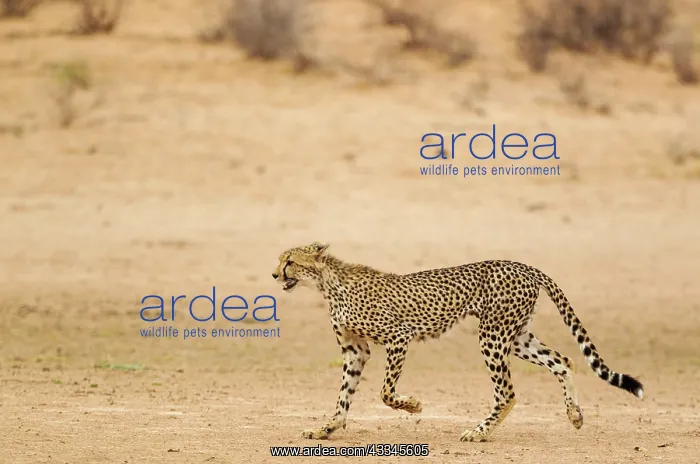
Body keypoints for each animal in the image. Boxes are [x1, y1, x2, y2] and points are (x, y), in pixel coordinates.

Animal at [272, 241, 644, 442]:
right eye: (280, 259)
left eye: (290, 261)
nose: (274, 274)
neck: (328, 285)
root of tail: (523, 265)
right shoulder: (355, 351)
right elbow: (344, 396)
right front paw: (326, 429)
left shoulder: (399, 337)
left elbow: (386, 393)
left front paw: (413, 406)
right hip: (516, 337)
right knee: (563, 361)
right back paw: (574, 415)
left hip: (492, 337)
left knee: (507, 393)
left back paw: (479, 432)